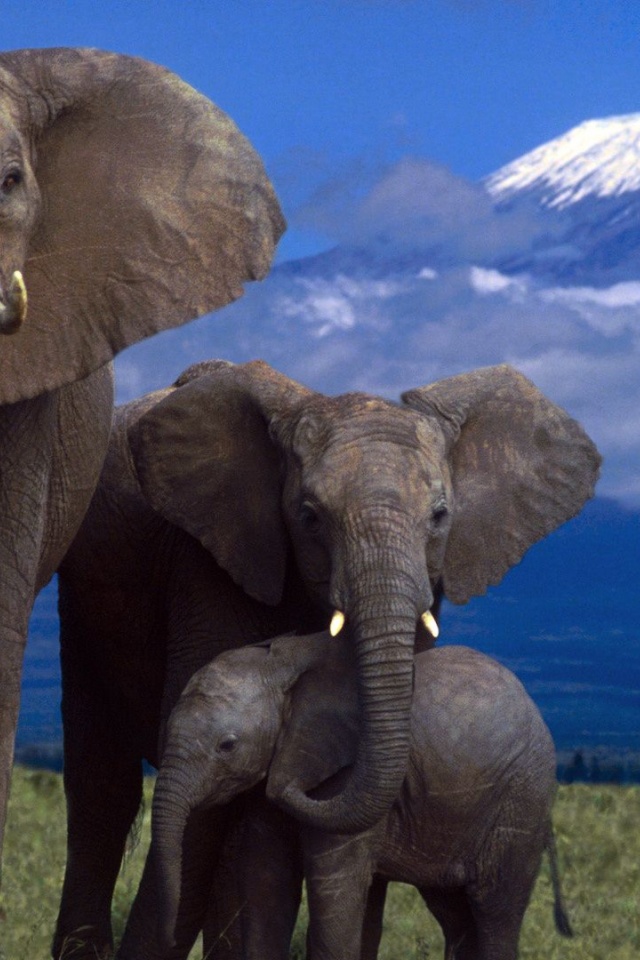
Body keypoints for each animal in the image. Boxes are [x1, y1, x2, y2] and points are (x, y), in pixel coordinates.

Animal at [151, 632, 576, 960]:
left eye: (227, 745)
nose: (169, 937)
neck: (280, 665)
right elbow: (264, 880)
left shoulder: (342, 773)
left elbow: (334, 889)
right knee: (456, 914)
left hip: (522, 800)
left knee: (495, 911)